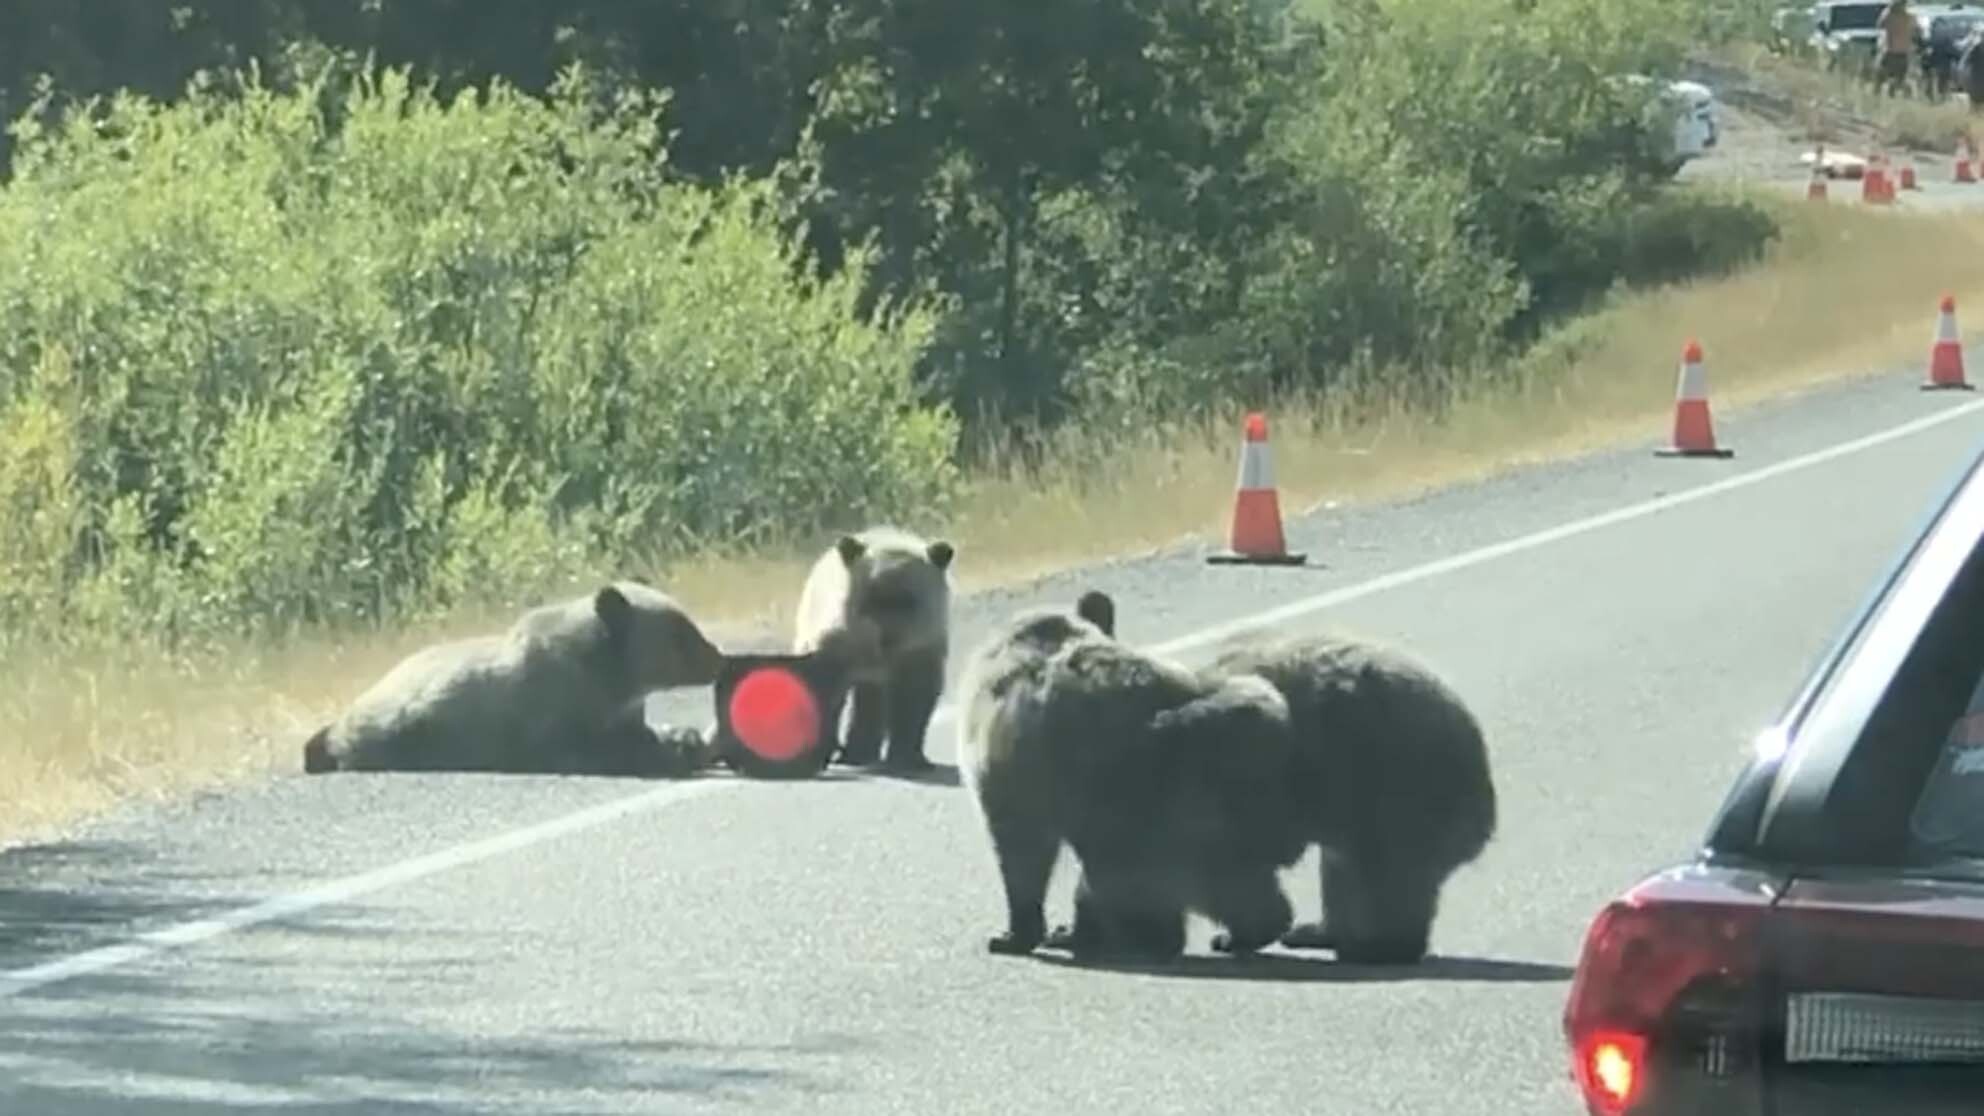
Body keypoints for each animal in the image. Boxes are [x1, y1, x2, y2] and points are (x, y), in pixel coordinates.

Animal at [301, 580, 727, 777]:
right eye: (681, 632)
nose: (718, 658)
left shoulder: (618, 709)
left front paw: (681, 737)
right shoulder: (549, 716)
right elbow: (590, 750)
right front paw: (671, 752)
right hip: (401, 732)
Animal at [792, 526, 955, 773]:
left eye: (908, 601)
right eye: (871, 600)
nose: (889, 636)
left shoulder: (920, 647)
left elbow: (915, 695)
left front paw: (909, 757)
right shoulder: (840, 638)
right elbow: (824, 685)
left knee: (871, 700)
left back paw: (861, 751)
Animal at [954, 594, 1313, 963]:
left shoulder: (1015, 773)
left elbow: (1020, 851)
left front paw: (1014, 933)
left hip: (1141, 796)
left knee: (1142, 876)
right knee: (1231, 877)